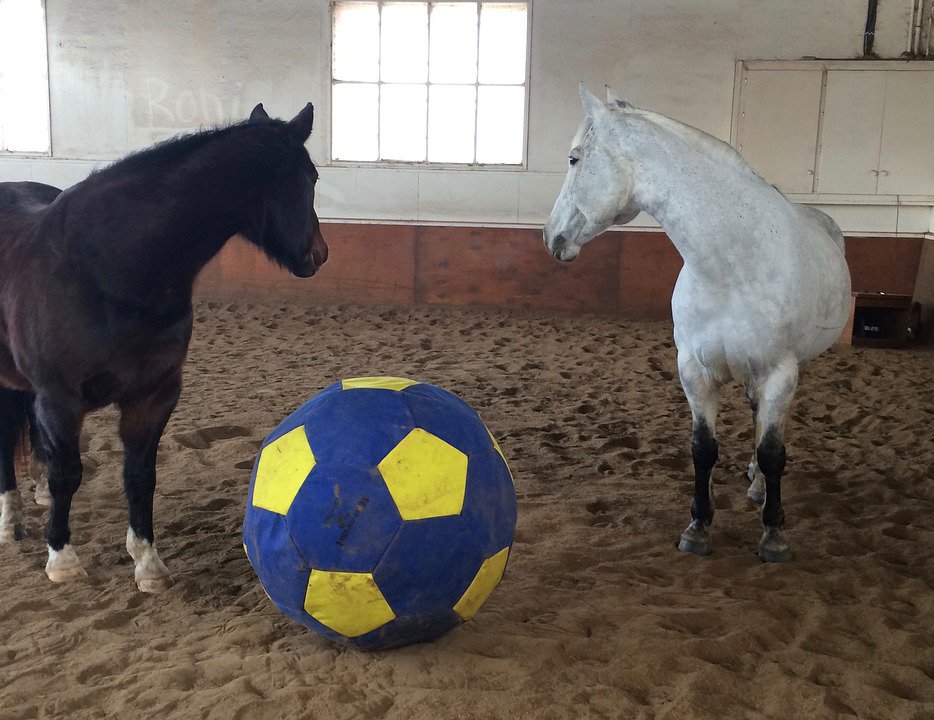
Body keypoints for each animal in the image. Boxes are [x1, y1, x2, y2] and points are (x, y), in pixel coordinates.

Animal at [0, 102, 328, 591]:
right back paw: (10, 521)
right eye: (310, 177)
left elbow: (140, 476)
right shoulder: (60, 400)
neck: (106, 268)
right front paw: (62, 558)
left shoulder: (153, 396)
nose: (319, 254)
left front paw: (148, 563)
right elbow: (68, 474)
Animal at [543, 84, 851, 562]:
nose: (551, 236)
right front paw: (698, 527)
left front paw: (774, 535)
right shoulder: (694, 371)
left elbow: (773, 452)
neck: (732, 265)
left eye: (575, 159)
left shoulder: (779, 372)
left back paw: (762, 490)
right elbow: (703, 450)